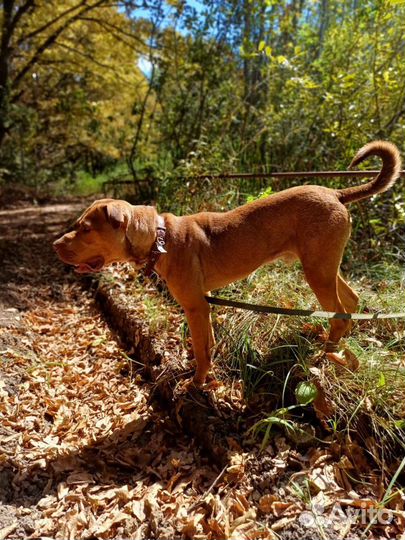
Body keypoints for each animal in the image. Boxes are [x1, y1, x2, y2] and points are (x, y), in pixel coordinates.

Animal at [54, 139, 400, 384]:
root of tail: (335, 193)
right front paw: (204, 376)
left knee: (340, 314)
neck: (161, 238)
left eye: (85, 229)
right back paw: (341, 349)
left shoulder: (195, 306)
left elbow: (200, 349)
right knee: (351, 304)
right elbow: (207, 344)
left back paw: (324, 357)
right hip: (325, 267)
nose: (55, 245)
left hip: (317, 271)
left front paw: (196, 383)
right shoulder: (204, 304)